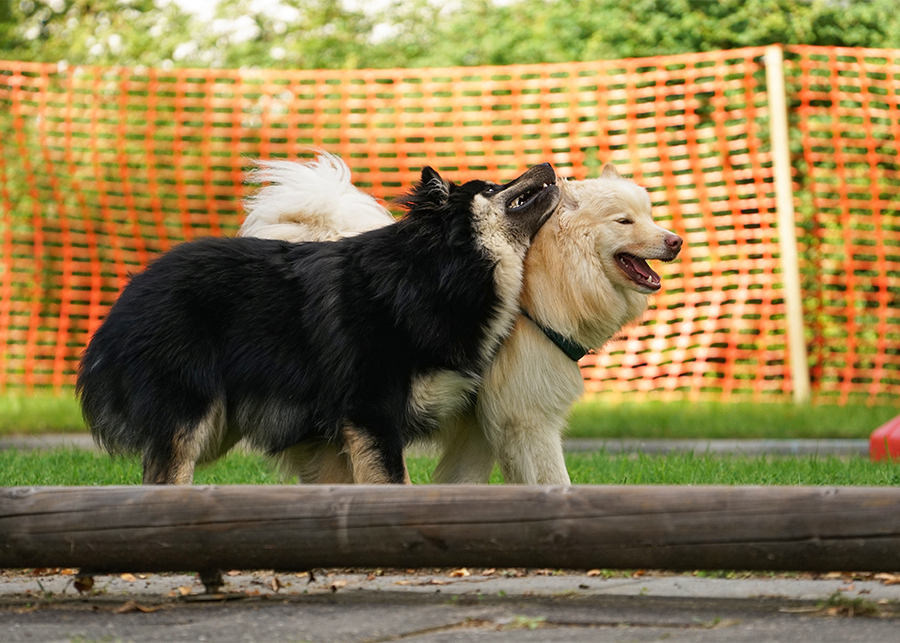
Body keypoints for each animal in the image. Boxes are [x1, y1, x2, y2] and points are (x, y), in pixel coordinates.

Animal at [77, 164, 560, 486]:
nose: (549, 166)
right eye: (492, 187)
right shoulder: (371, 414)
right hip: (190, 411)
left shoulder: (340, 433)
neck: (429, 276)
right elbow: (393, 482)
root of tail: (128, 295)